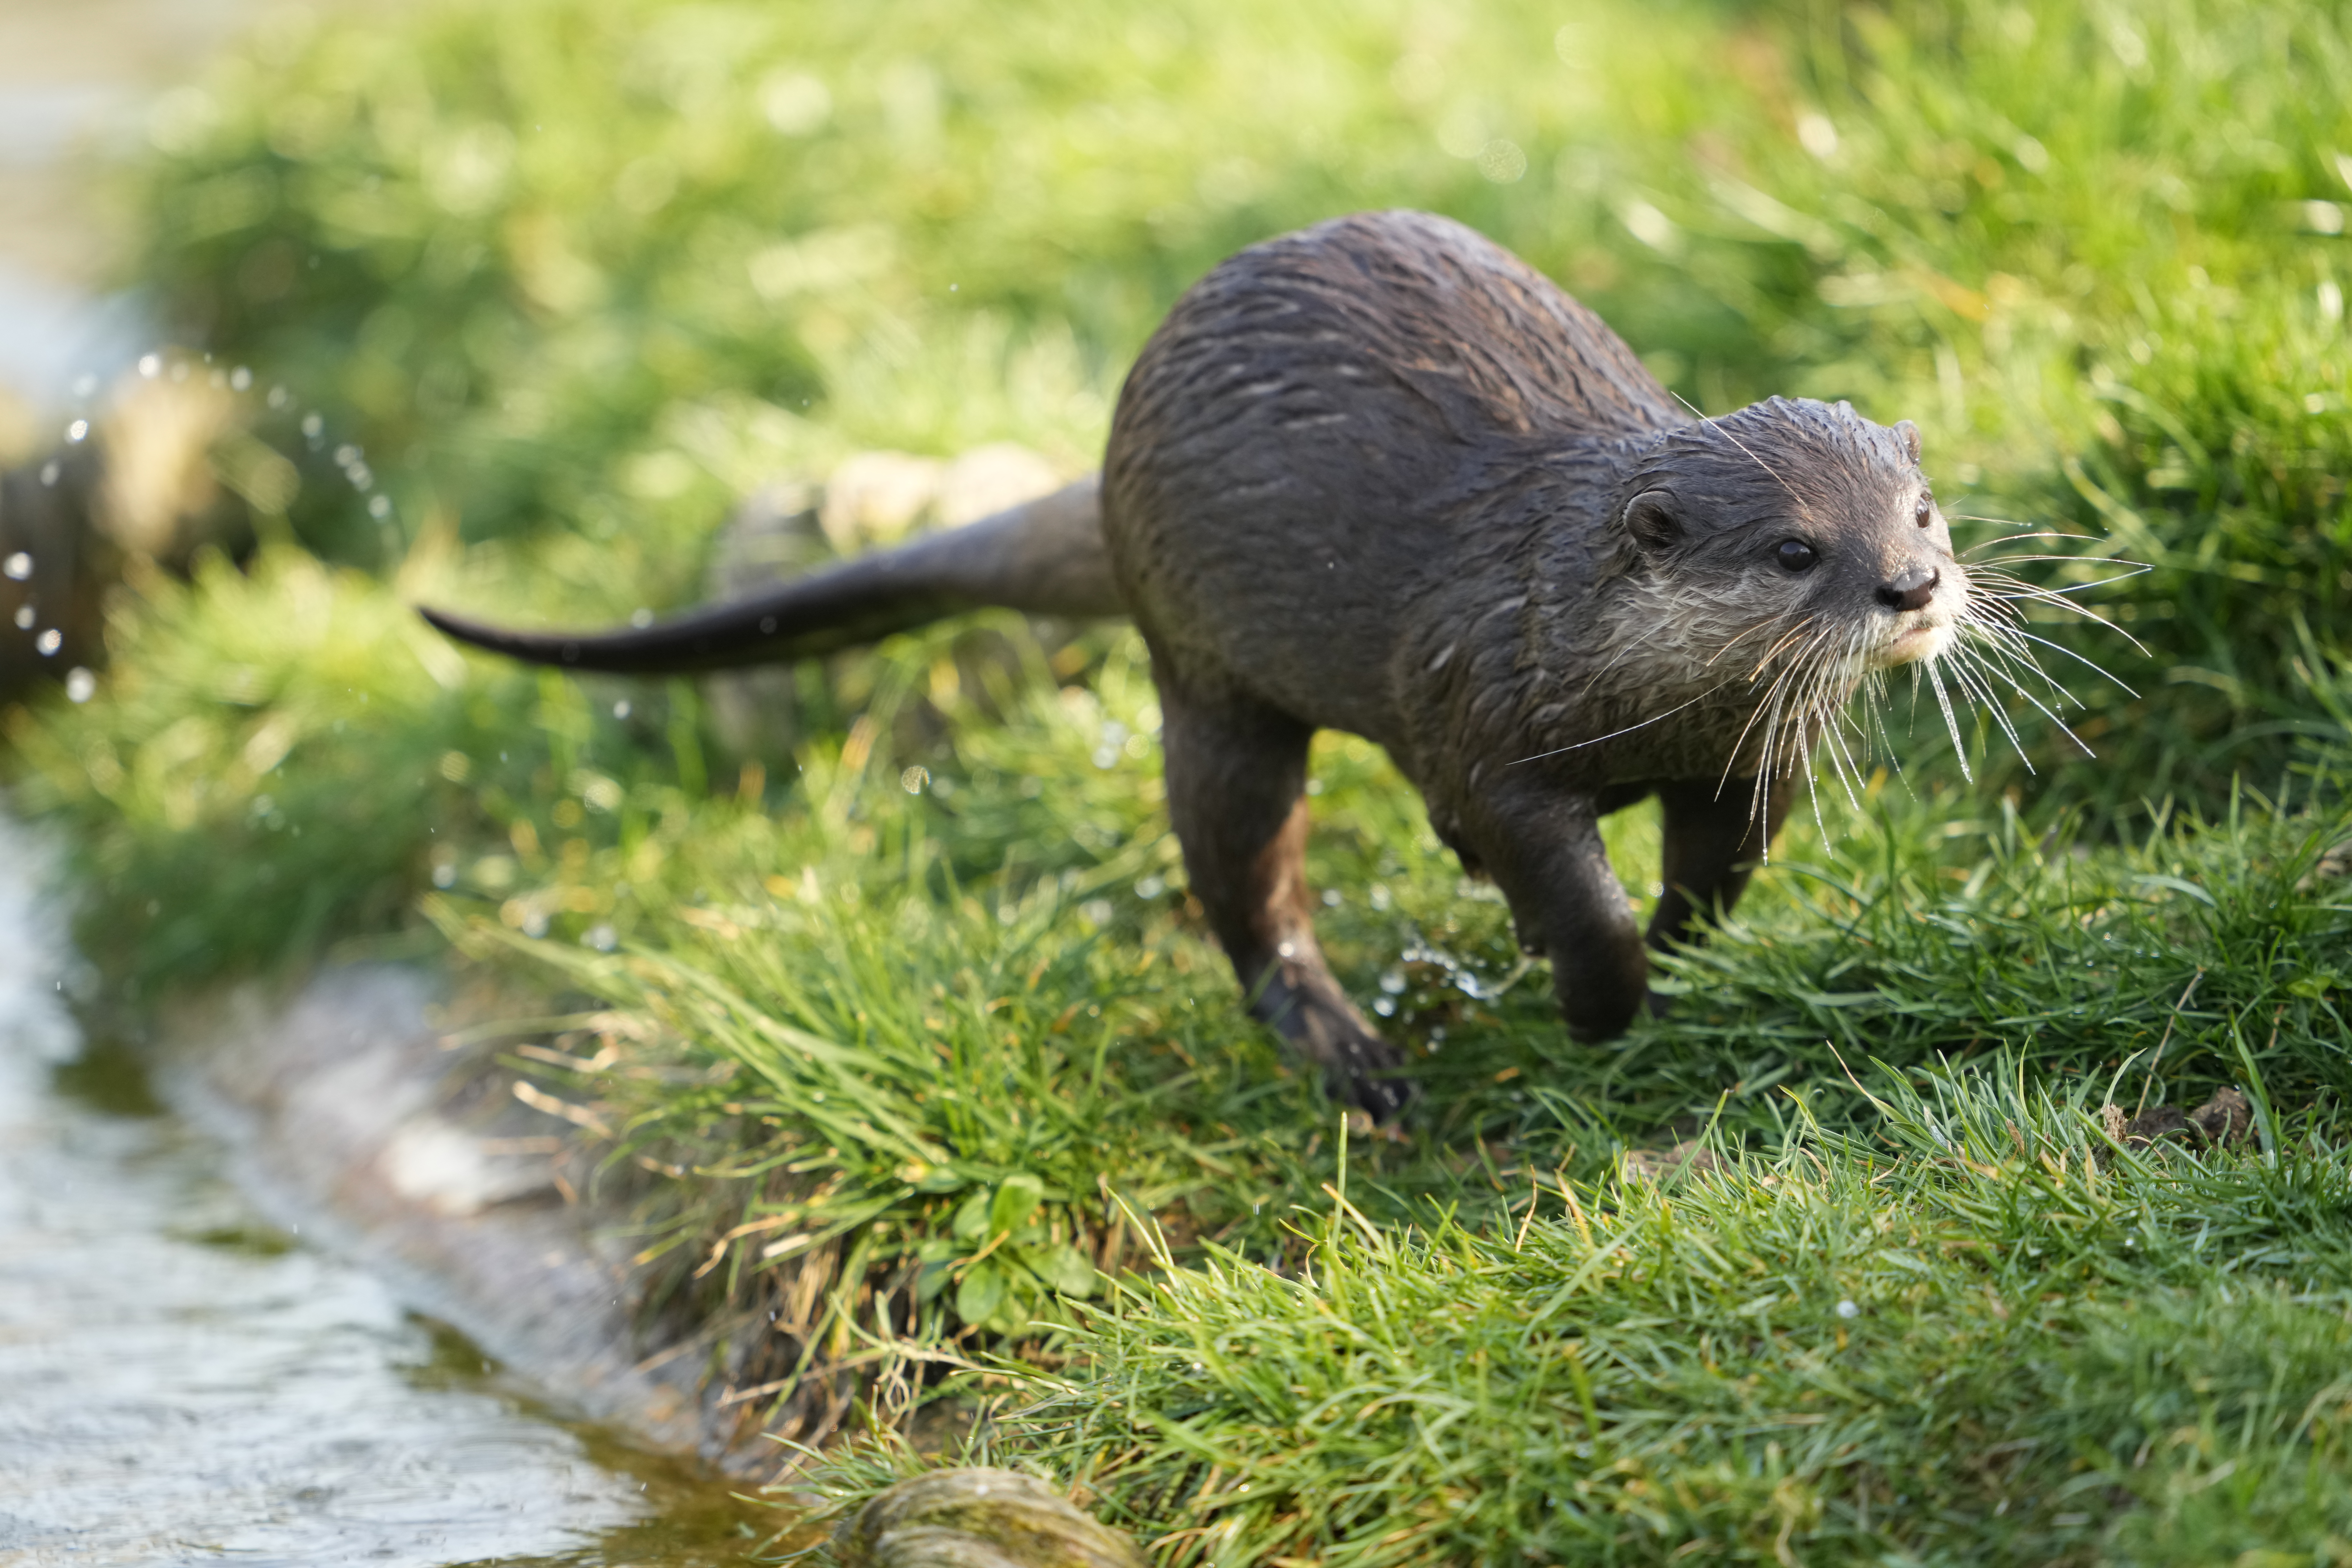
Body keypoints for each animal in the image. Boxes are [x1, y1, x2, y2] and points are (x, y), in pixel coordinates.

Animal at [423, 209, 1985, 1118]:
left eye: (1920, 510)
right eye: (1793, 548)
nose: (1911, 587)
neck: (1576, 638)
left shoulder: (1745, 756)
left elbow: (1718, 873)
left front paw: (1671, 949)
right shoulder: (1475, 708)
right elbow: (1554, 875)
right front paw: (1596, 995)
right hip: (1209, 682)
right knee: (1242, 878)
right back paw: (1346, 1054)